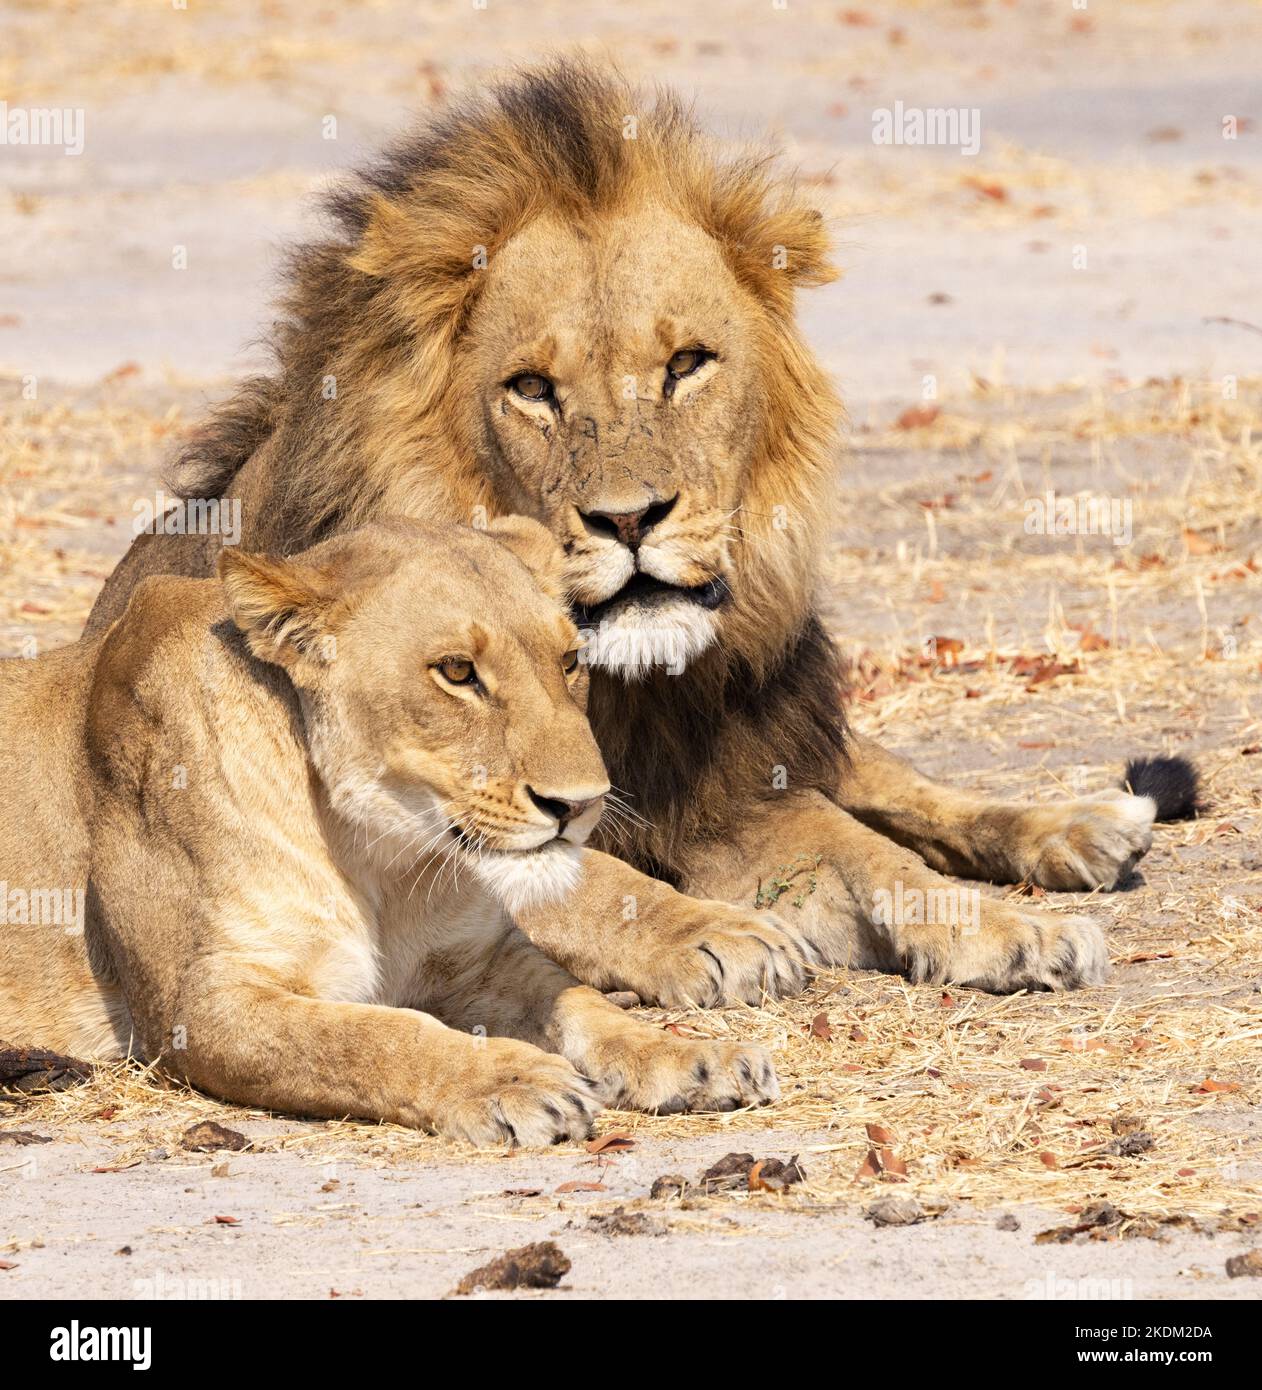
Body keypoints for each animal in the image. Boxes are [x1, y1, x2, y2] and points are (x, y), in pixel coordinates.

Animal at [0, 518, 777, 1141]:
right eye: (457, 671)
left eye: (568, 661)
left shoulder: (476, 960)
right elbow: (371, 1036)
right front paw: (511, 1081)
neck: (383, 856)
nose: (582, 803)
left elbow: (578, 1002)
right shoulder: (201, 1007)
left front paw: (689, 1057)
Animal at [83, 59, 1181, 1004]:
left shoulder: (731, 792)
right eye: (531, 389)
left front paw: (1008, 926)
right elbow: (585, 874)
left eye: (685, 365)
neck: (623, 690)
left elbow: (869, 848)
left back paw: (1083, 823)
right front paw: (717, 932)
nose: (628, 517)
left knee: (873, 771)